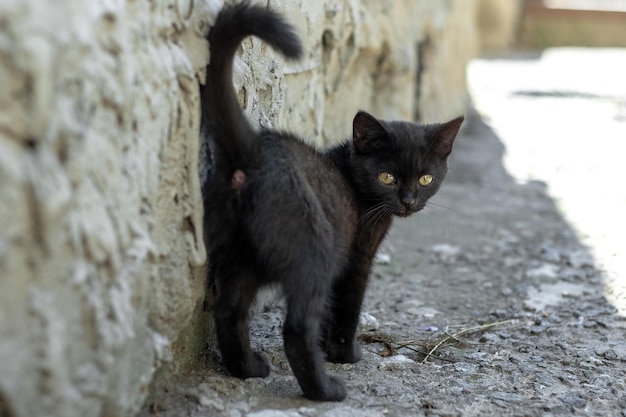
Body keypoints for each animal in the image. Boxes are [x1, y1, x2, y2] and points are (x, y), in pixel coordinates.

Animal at [201, 1, 464, 402]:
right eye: (387, 177)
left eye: (425, 179)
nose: (407, 201)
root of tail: (254, 152)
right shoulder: (357, 253)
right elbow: (347, 304)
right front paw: (344, 354)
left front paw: (330, 349)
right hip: (315, 248)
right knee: (297, 325)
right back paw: (325, 390)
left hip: (235, 250)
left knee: (230, 311)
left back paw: (248, 369)